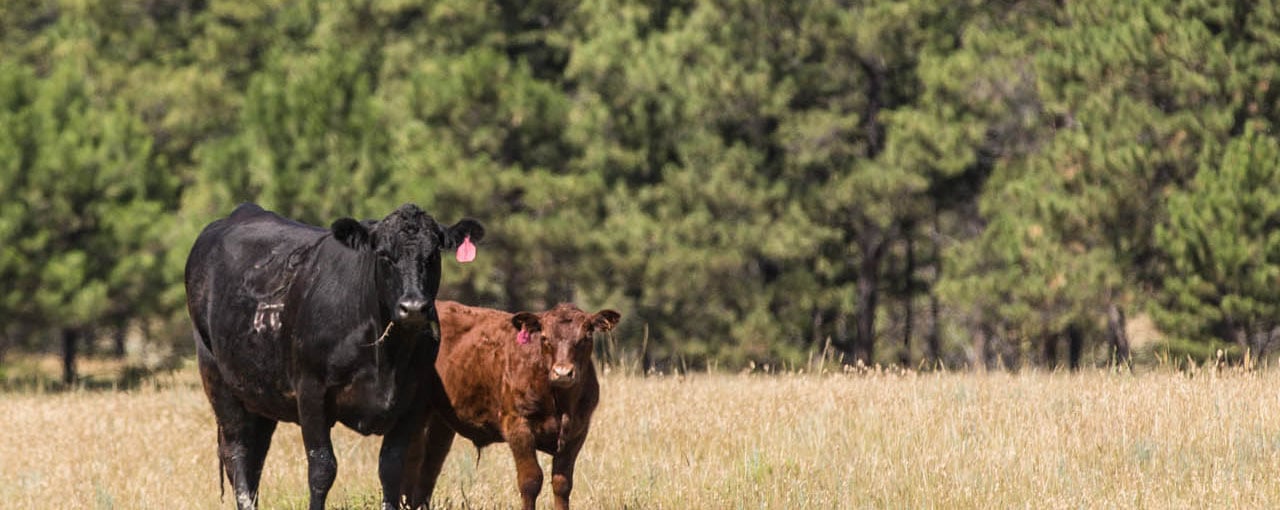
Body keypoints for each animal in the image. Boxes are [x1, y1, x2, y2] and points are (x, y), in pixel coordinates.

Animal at [184, 203, 483, 510]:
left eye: (433, 255)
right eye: (384, 255)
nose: (413, 307)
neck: (387, 360)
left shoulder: (413, 398)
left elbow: (391, 468)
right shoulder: (310, 390)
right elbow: (322, 467)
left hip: (260, 393)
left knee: (256, 455)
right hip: (215, 375)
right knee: (237, 452)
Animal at [401, 300, 621, 510]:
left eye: (586, 337)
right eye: (544, 338)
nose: (562, 373)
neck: (560, 404)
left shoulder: (578, 431)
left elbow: (562, 483)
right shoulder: (517, 424)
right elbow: (531, 480)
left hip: (442, 420)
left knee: (430, 465)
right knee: (412, 459)